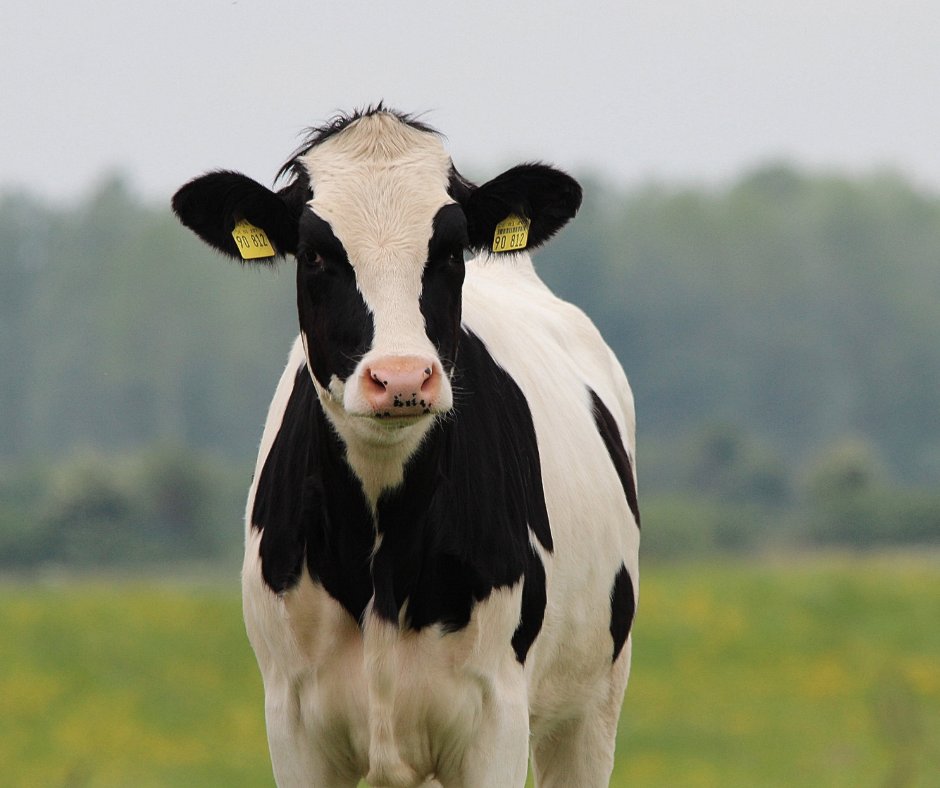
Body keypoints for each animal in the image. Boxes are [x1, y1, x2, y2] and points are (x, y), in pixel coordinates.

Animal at [172, 105, 639, 788]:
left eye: (448, 250)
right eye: (315, 254)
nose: (399, 377)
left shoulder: (496, 719)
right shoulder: (292, 723)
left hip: (592, 706)